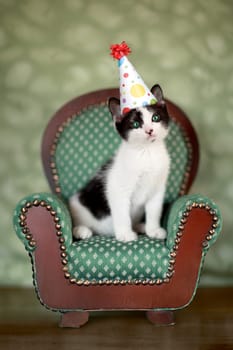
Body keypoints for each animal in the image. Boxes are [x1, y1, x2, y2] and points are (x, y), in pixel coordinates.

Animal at [68, 85, 170, 243]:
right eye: (135, 124)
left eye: (155, 118)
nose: (149, 131)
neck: (146, 153)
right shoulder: (117, 189)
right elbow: (122, 214)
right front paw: (126, 234)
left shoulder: (157, 189)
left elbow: (154, 211)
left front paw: (153, 230)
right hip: (78, 206)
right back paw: (81, 231)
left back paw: (140, 226)